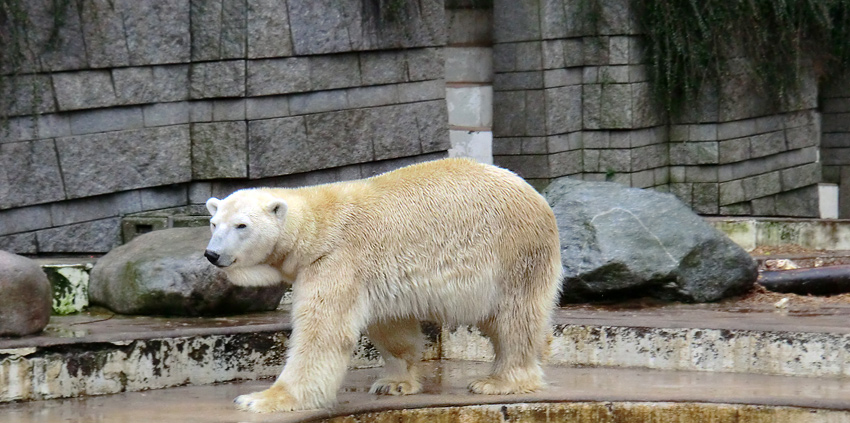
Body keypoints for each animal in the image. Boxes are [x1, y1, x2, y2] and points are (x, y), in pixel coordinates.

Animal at [204, 157, 564, 412]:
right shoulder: (373, 274)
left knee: (513, 316)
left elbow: (322, 333)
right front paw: (394, 383)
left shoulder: (336, 260)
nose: (212, 254)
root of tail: (535, 194)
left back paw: (499, 381)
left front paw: (260, 399)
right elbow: (391, 327)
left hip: (512, 252)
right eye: (214, 223)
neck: (317, 227)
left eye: (241, 225)